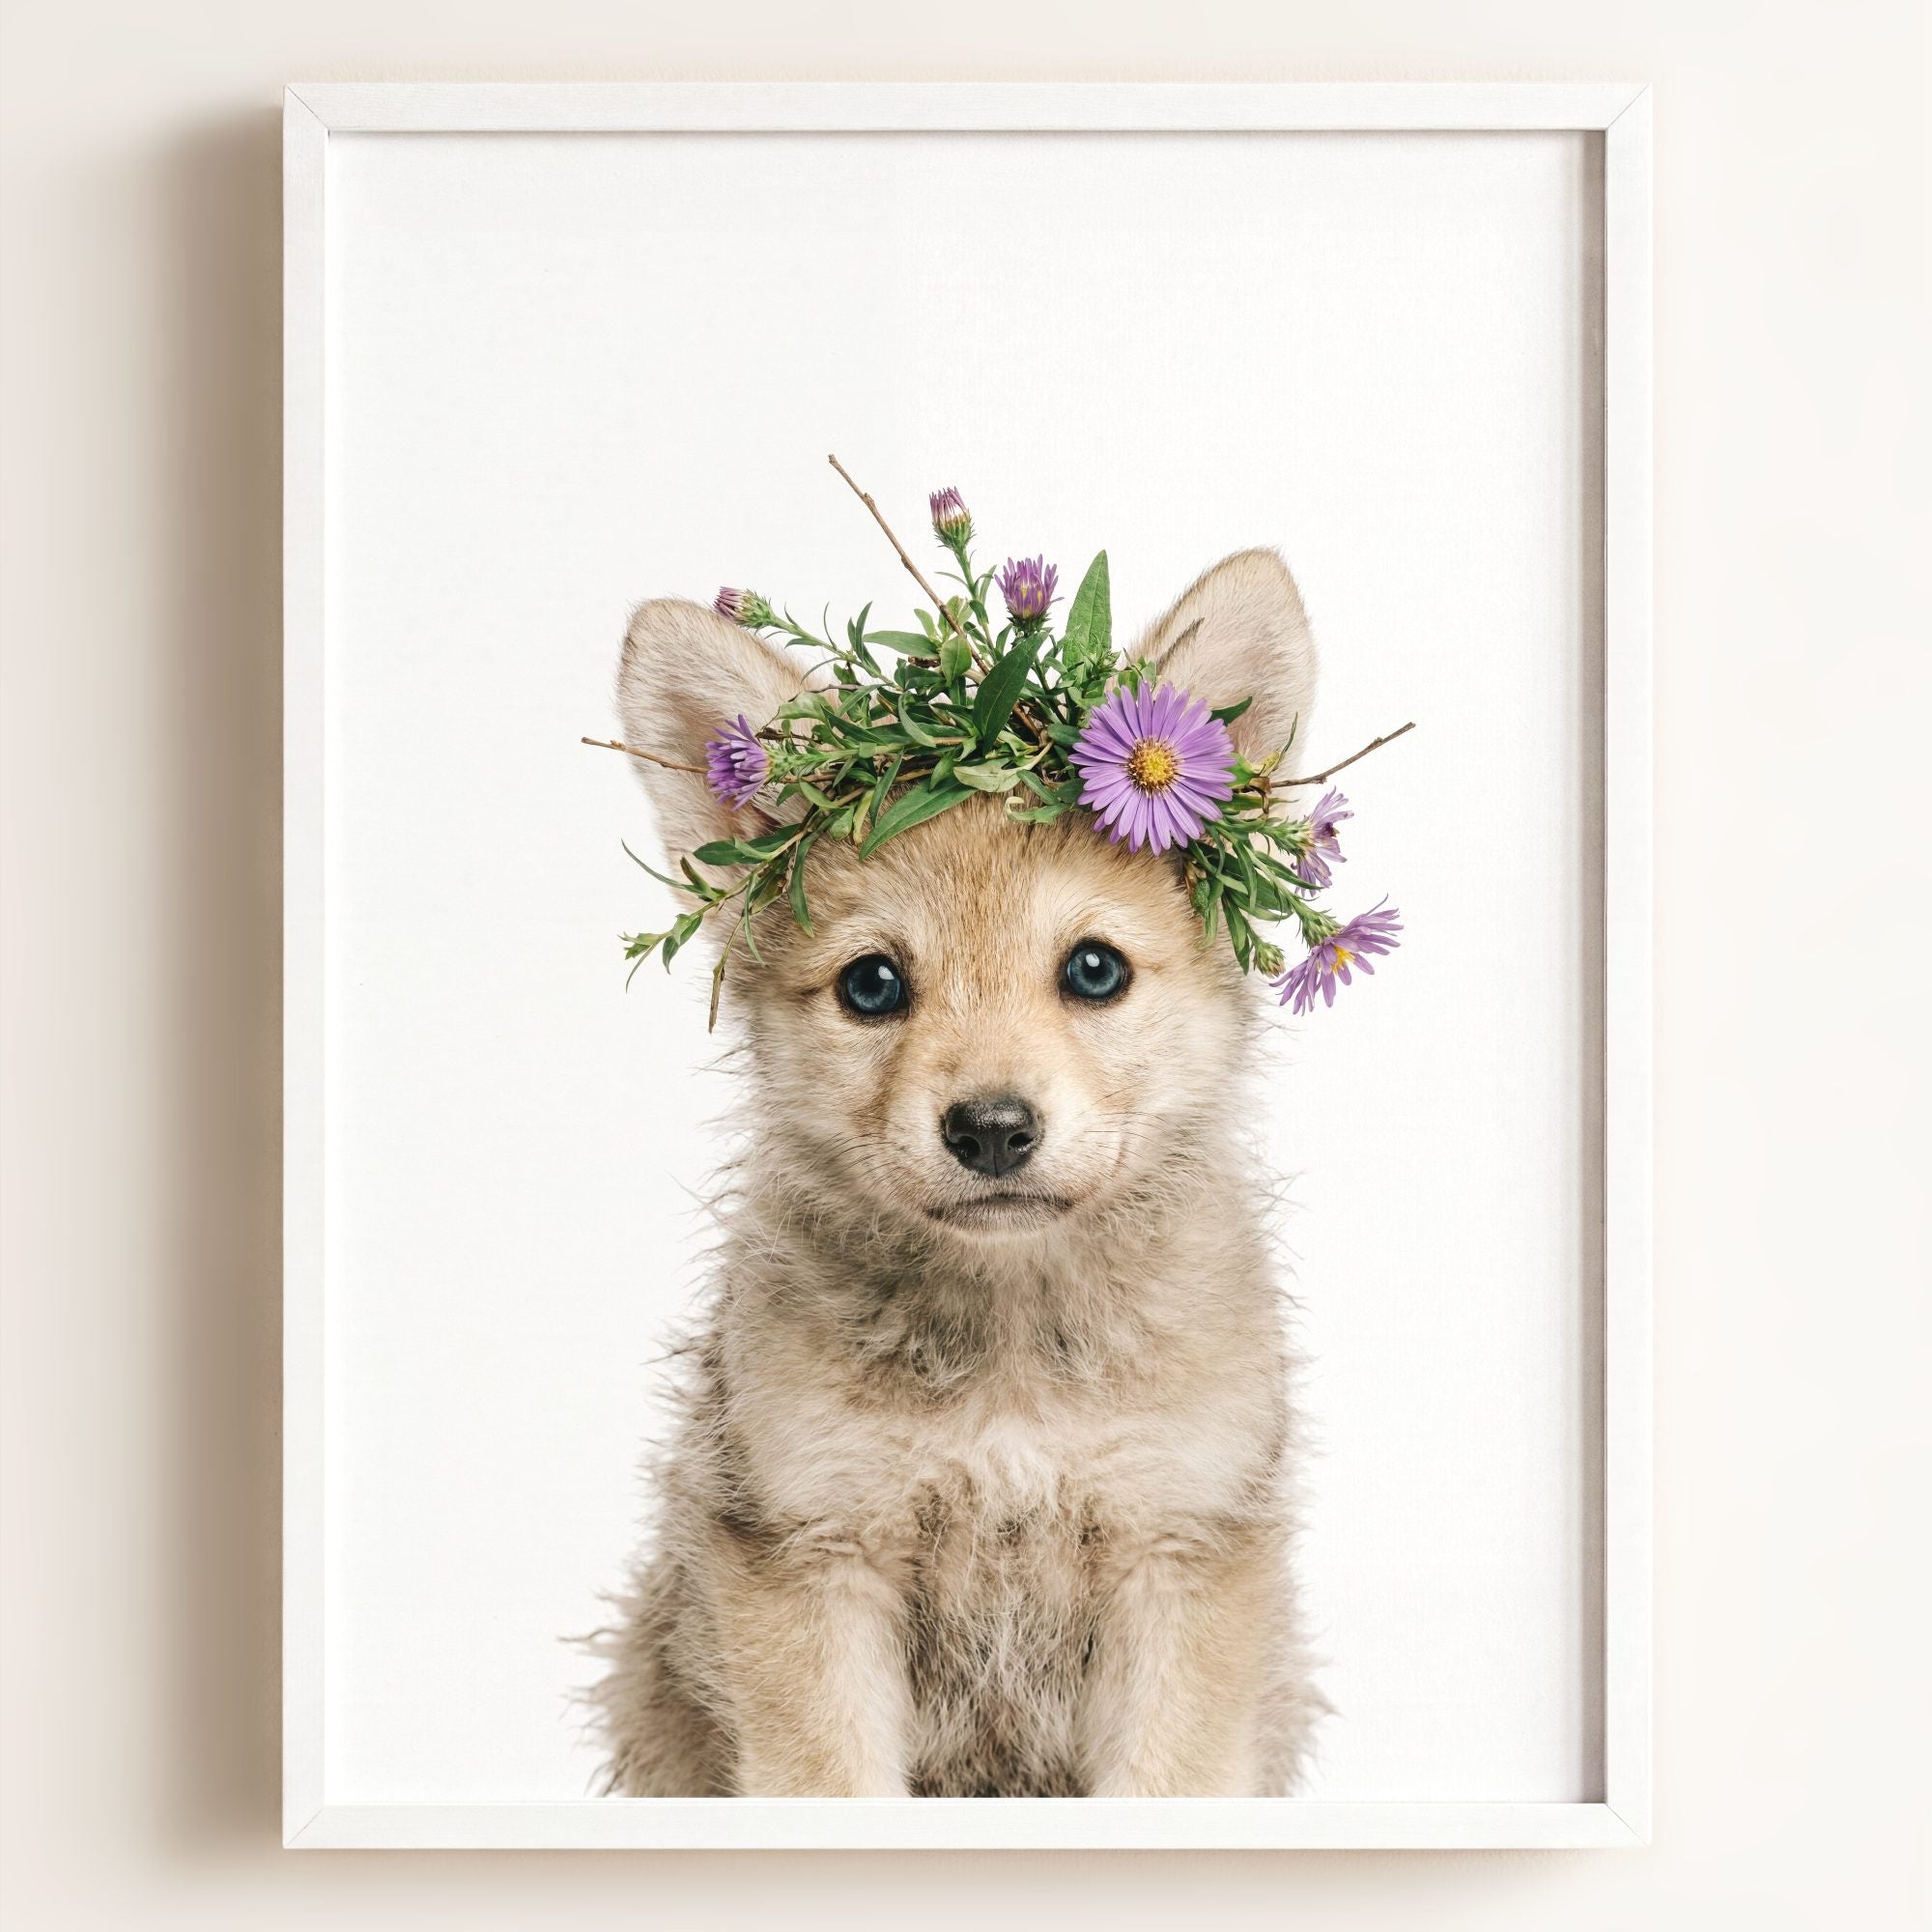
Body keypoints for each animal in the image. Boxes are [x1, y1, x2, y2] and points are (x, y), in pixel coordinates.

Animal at [591, 549, 1327, 1798]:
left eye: (1093, 969)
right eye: (871, 984)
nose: (989, 1128)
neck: (1010, 1359)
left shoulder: (1177, 1550)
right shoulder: (813, 1554)